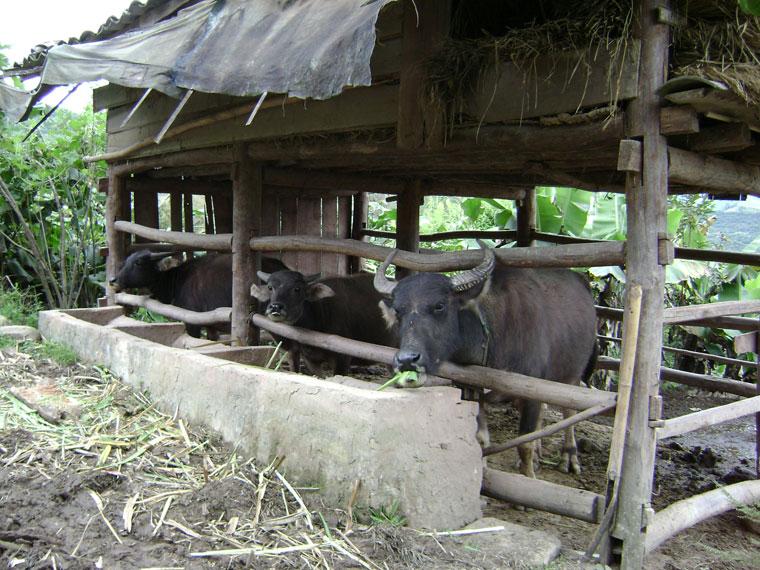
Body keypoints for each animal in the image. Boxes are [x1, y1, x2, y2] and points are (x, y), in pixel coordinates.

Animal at [111, 250, 290, 338]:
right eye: (126, 260)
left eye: (138, 262)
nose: (113, 280)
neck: (176, 279)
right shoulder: (210, 324)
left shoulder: (192, 321)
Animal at [376, 245, 600, 474]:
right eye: (398, 311)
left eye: (439, 305)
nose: (407, 360)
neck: (491, 334)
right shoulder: (472, 392)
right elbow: (481, 439)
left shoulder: (532, 391)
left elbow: (524, 445)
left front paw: (528, 473)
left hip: (571, 375)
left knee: (569, 410)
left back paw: (569, 457)